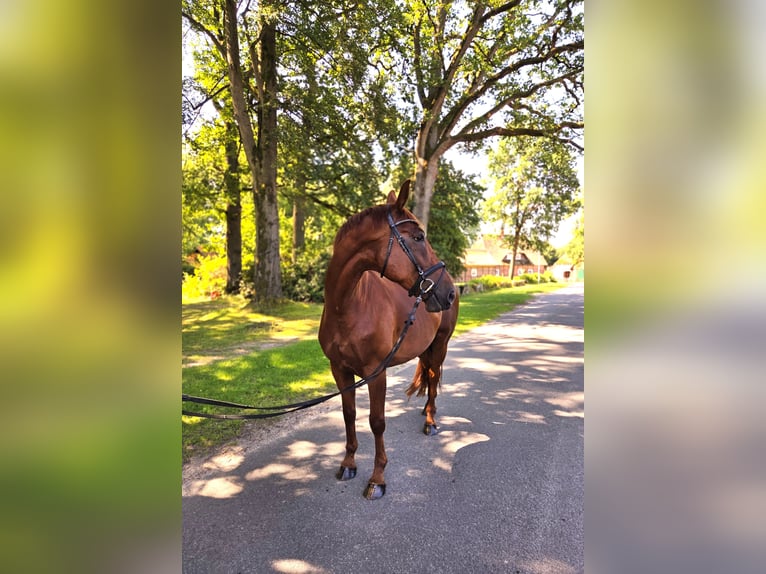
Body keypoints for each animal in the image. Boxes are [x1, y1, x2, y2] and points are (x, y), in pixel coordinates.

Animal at [318, 179, 459, 499]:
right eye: (418, 237)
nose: (447, 293)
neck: (348, 307)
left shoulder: (376, 372)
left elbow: (377, 422)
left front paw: (377, 478)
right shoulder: (339, 370)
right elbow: (349, 414)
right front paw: (348, 463)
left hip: (440, 345)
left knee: (434, 379)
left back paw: (431, 421)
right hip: (425, 348)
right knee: (428, 377)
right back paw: (425, 411)